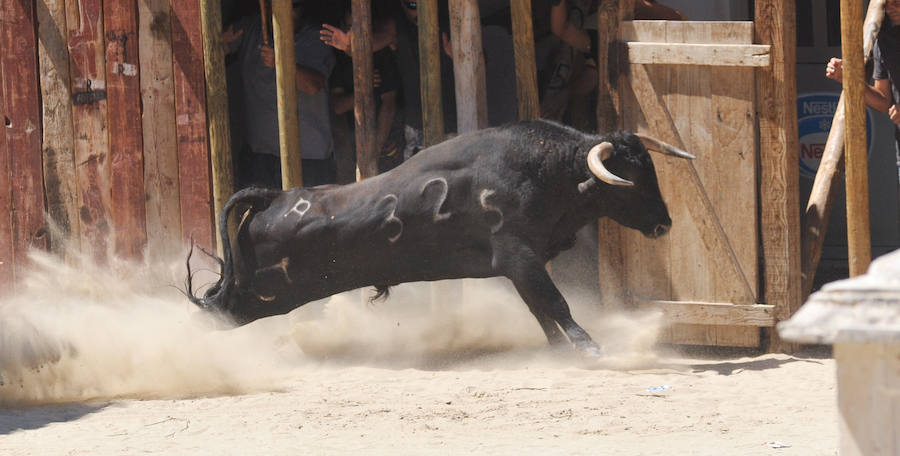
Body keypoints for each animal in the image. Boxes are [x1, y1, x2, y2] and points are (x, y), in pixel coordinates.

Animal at [186, 120, 692, 356]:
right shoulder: (518, 256)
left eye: (651, 170)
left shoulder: (520, 266)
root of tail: (276, 195)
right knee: (216, 308)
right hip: (263, 292)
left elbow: (539, 309)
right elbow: (555, 302)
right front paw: (589, 347)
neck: (549, 169)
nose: (664, 224)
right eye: (631, 179)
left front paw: (559, 350)